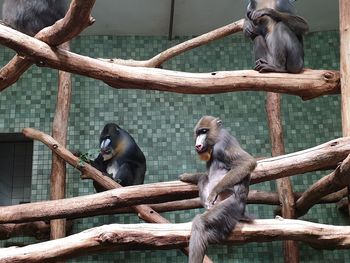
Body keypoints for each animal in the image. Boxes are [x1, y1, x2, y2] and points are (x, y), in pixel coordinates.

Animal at [180, 116, 258, 263]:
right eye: (198, 133)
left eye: (204, 131)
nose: (198, 145)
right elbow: (204, 175)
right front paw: (187, 176)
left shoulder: (222, 145)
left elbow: (248, 163)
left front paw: (213, 193)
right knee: (204, 178)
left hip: (229, 206)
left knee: (201, 223)